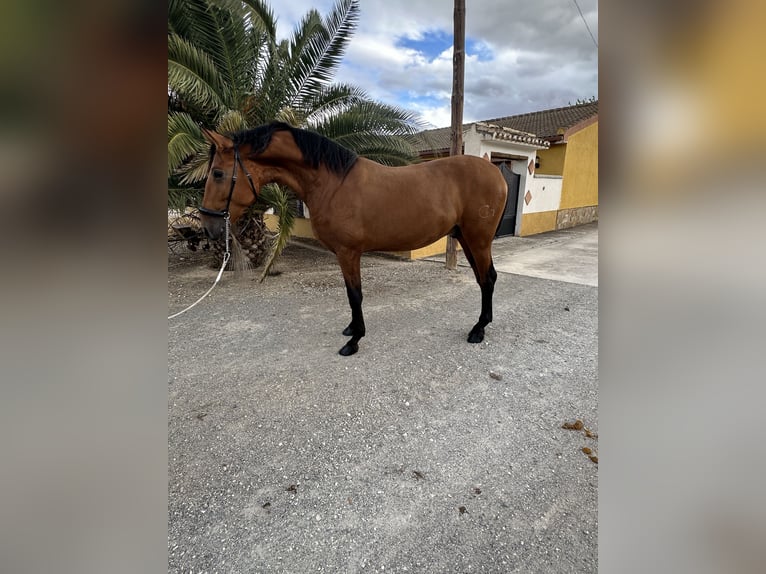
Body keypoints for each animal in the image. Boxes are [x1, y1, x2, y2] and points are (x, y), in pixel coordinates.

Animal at [200, 122, 510, 358]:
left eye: (218, 173)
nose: (209, 226)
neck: (333, 184)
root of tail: (495, 171)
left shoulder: (348, 252)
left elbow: (355, 294)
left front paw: (354, 341)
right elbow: (352, 295)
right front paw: (351, 329)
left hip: (478, 240)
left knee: (488, 279)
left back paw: (478, 330)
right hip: (466, 238)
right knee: (485, 278)